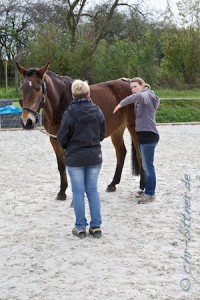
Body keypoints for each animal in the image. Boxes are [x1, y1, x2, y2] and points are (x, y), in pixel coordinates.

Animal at [16, 63, 144, 199]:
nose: (27, 122)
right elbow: (61, 165)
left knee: (140, 155)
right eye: (22, 88)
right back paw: (113, 184)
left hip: (133, 127)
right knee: (121, 152)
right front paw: (62, 192)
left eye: (37, 88)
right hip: (117, 130)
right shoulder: (54, 139)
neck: (60, 103)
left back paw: (142, 186)